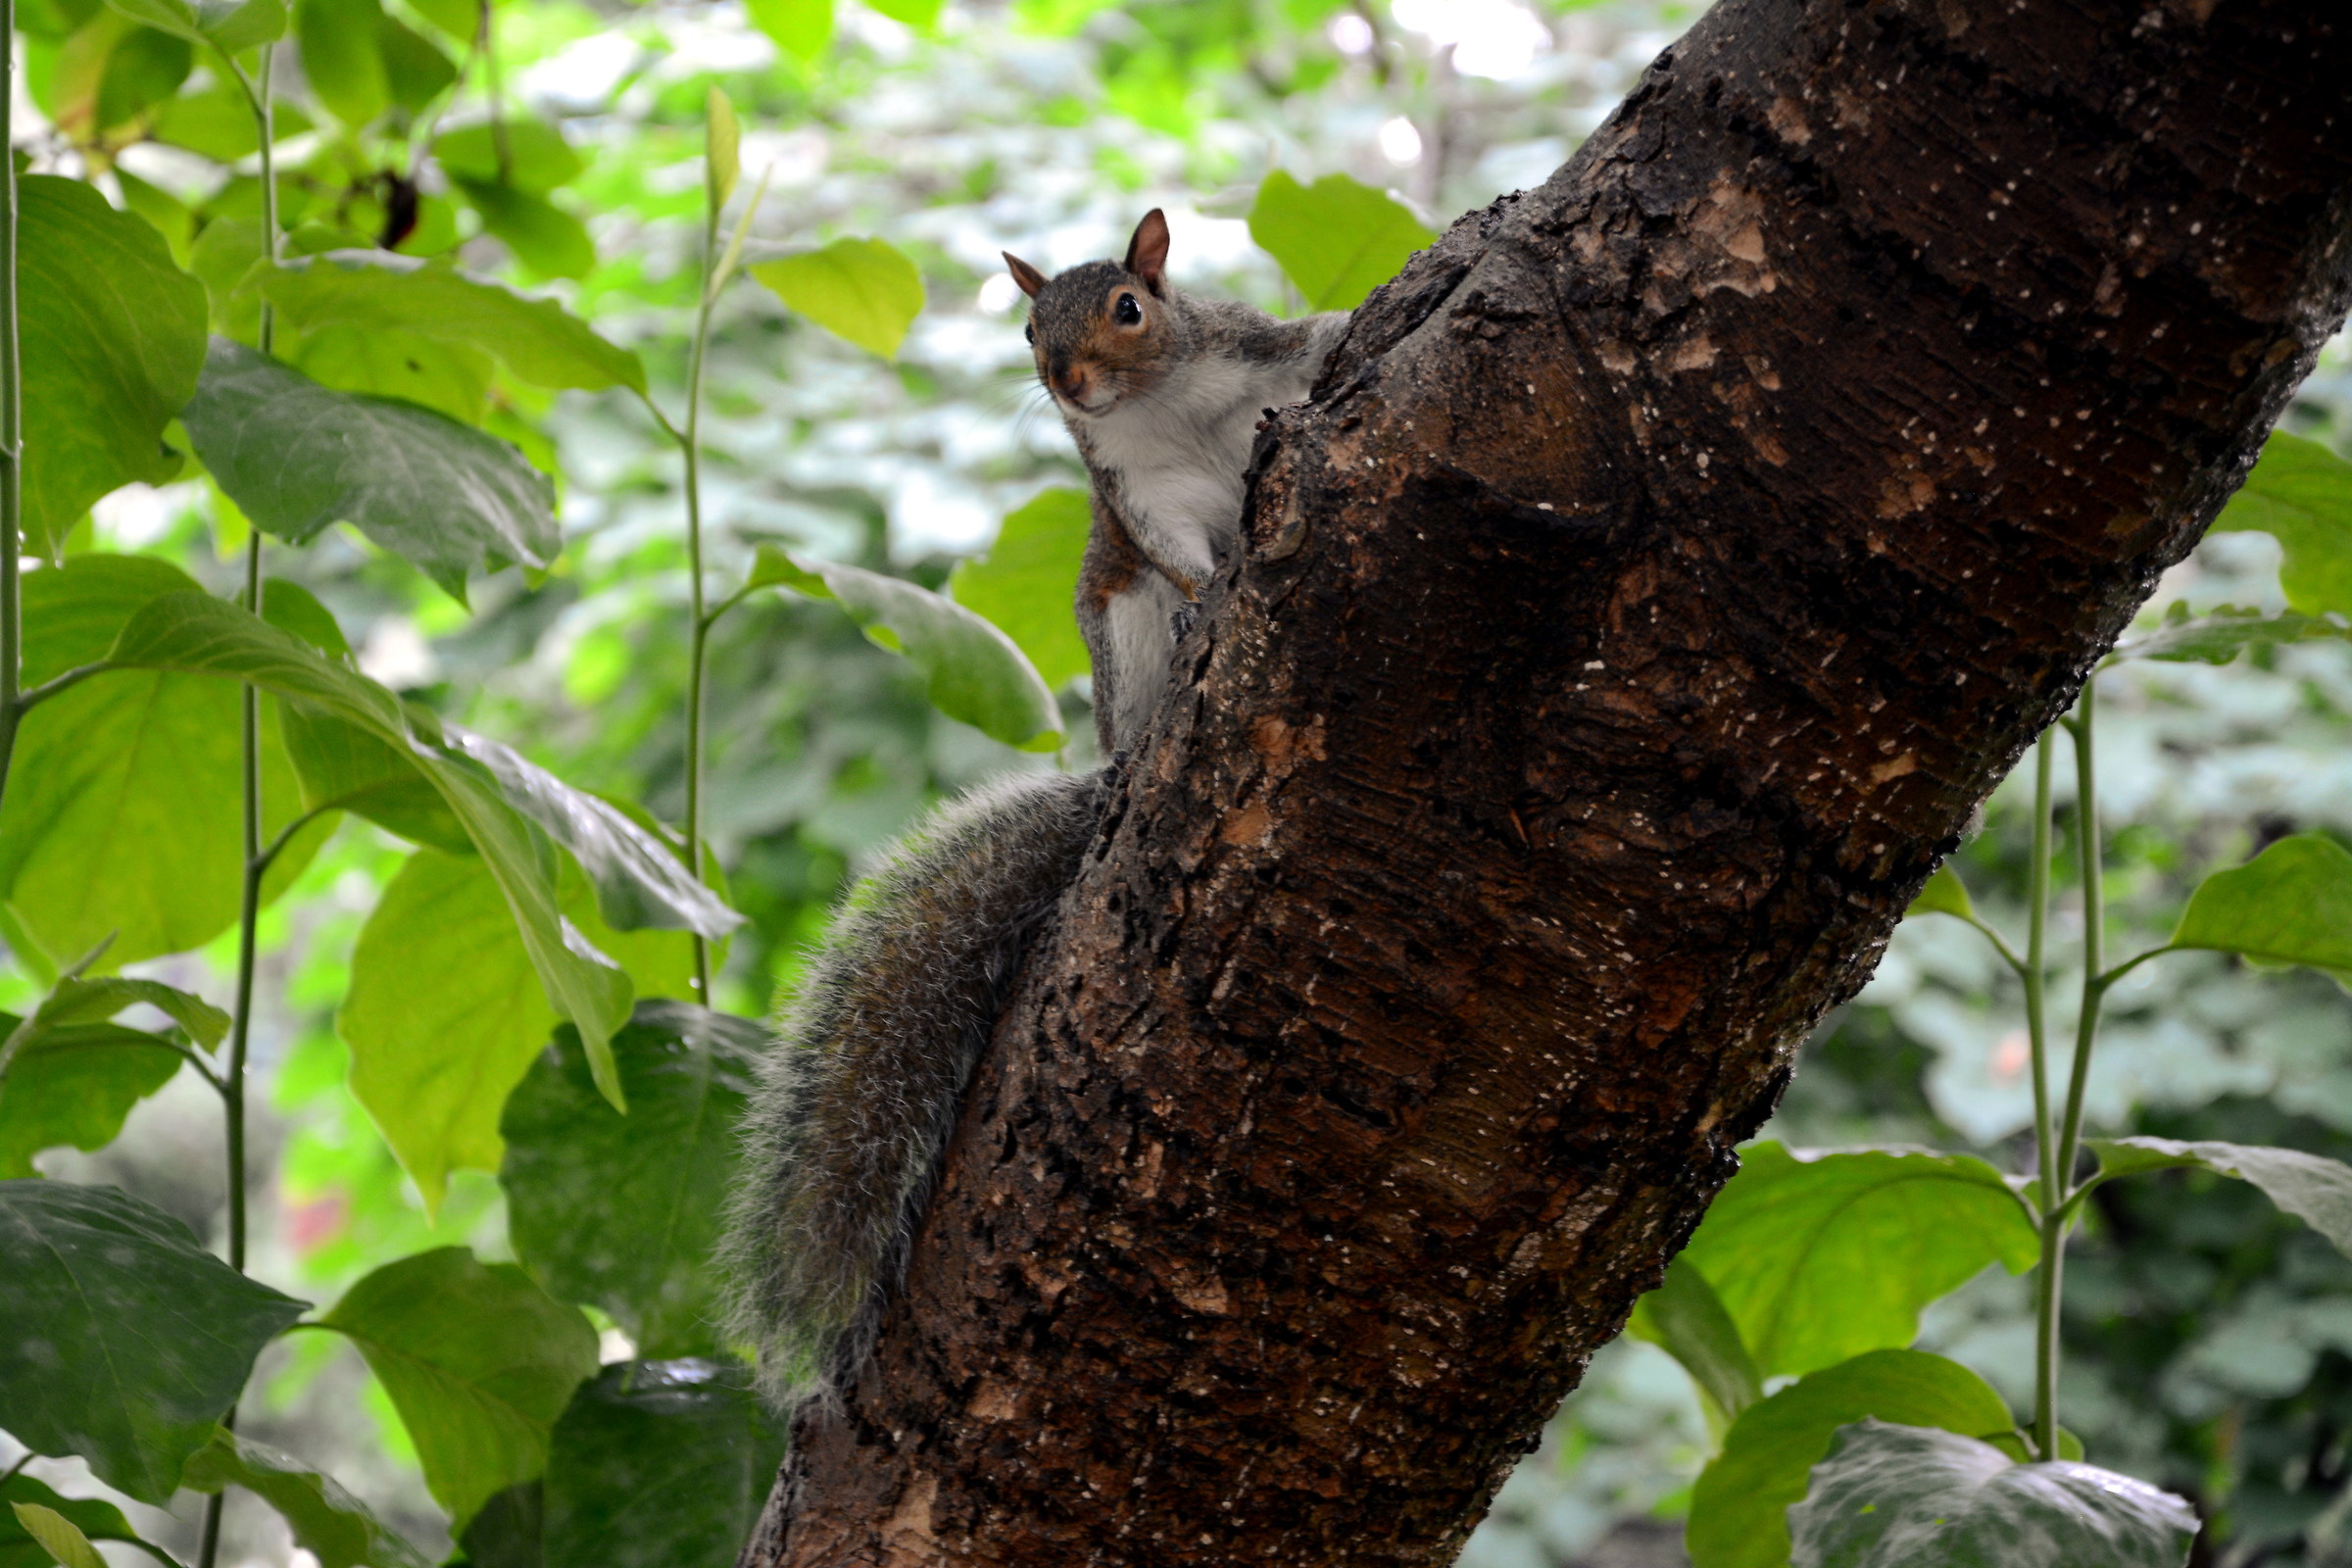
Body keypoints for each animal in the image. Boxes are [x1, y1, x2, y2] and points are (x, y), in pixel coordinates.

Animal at [720, 211, 1349, 1414]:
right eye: (1026, 327)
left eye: (1129, 308)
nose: (1066, 380)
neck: (1154, 404)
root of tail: (1115, 762)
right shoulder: (1137, 498)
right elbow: (1177, 552)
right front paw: (1211, 592)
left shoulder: (1251, 357)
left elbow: (1311, 341)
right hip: (1121, 621)